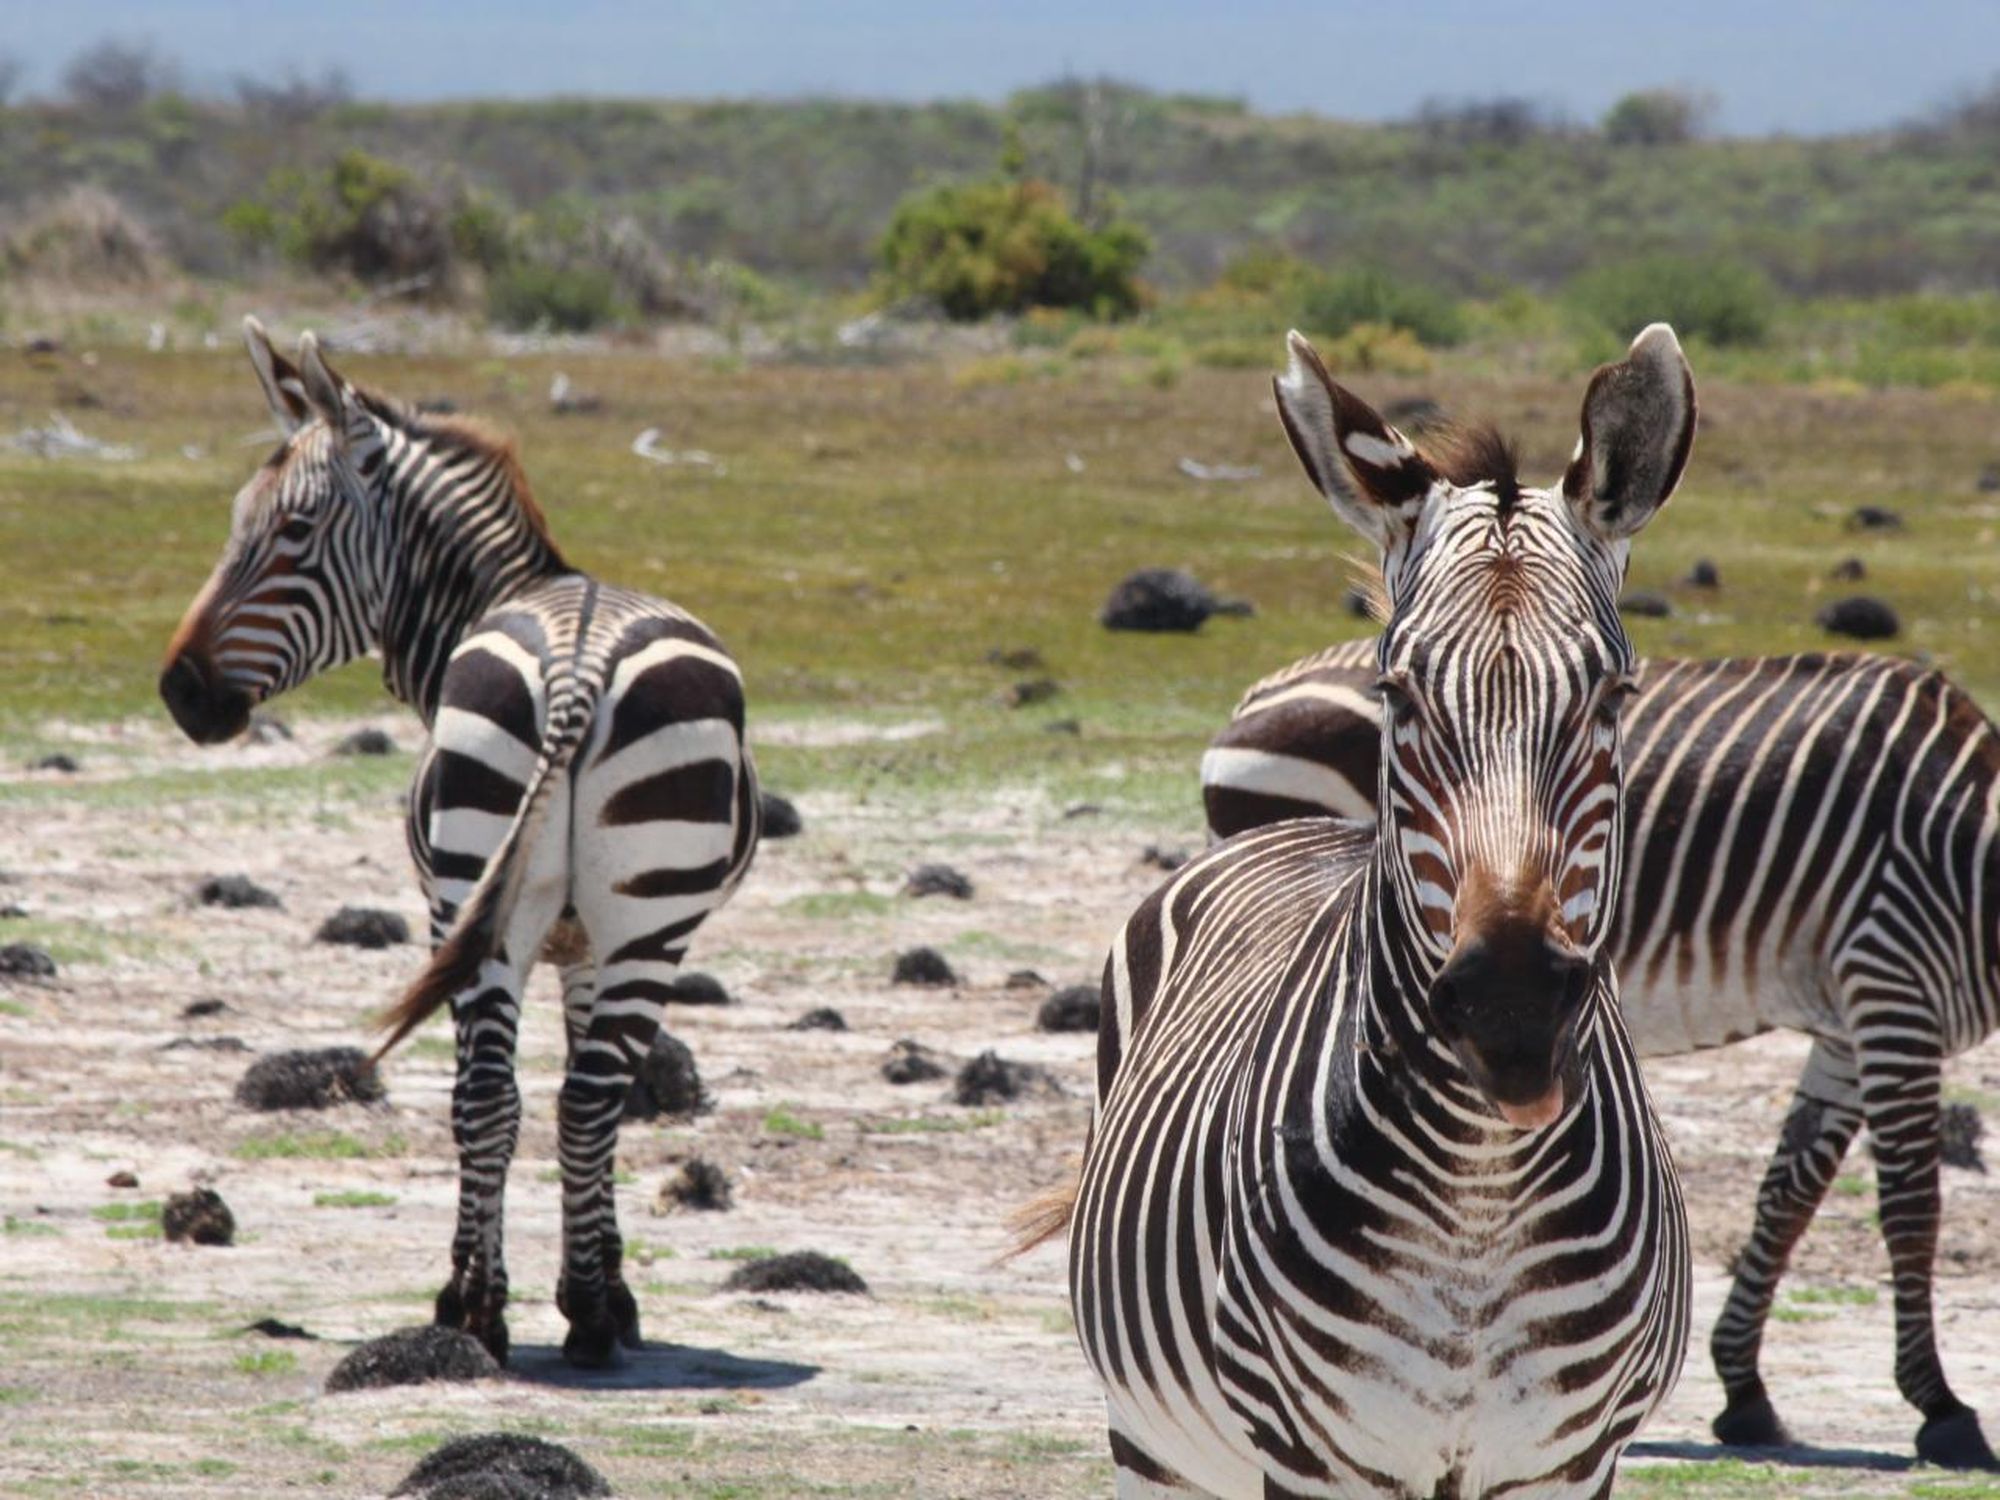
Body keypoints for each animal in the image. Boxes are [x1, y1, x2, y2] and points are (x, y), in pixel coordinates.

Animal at [160, 319, 758, 1368]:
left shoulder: (517, 927)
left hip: (512, 900)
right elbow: (560, 1095)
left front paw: (578, 1286)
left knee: (508, 1095)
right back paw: (551, 1316)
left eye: (292, 532)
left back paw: (492, 1309)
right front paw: (600, 1288)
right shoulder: (571, 941)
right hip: (613, 920)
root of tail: (579, 668)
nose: (179, 691)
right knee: (564, 1099)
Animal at [1028, 325, 1697, 1498]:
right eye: (1396, 693)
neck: (1480, 1192)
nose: (1512, 1013)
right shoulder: (1311, 1456)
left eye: (1613, 695)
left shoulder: (1571, 1462)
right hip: (1154, 1444)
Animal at [1203, 637, 2000, 1470]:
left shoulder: (1845, 1024)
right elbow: (1912, 1207)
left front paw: (1745, 1391)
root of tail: (1263, 692)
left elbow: (1788, 1195)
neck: (1965, 845)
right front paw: (1942, 1407)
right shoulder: (1891, 980)